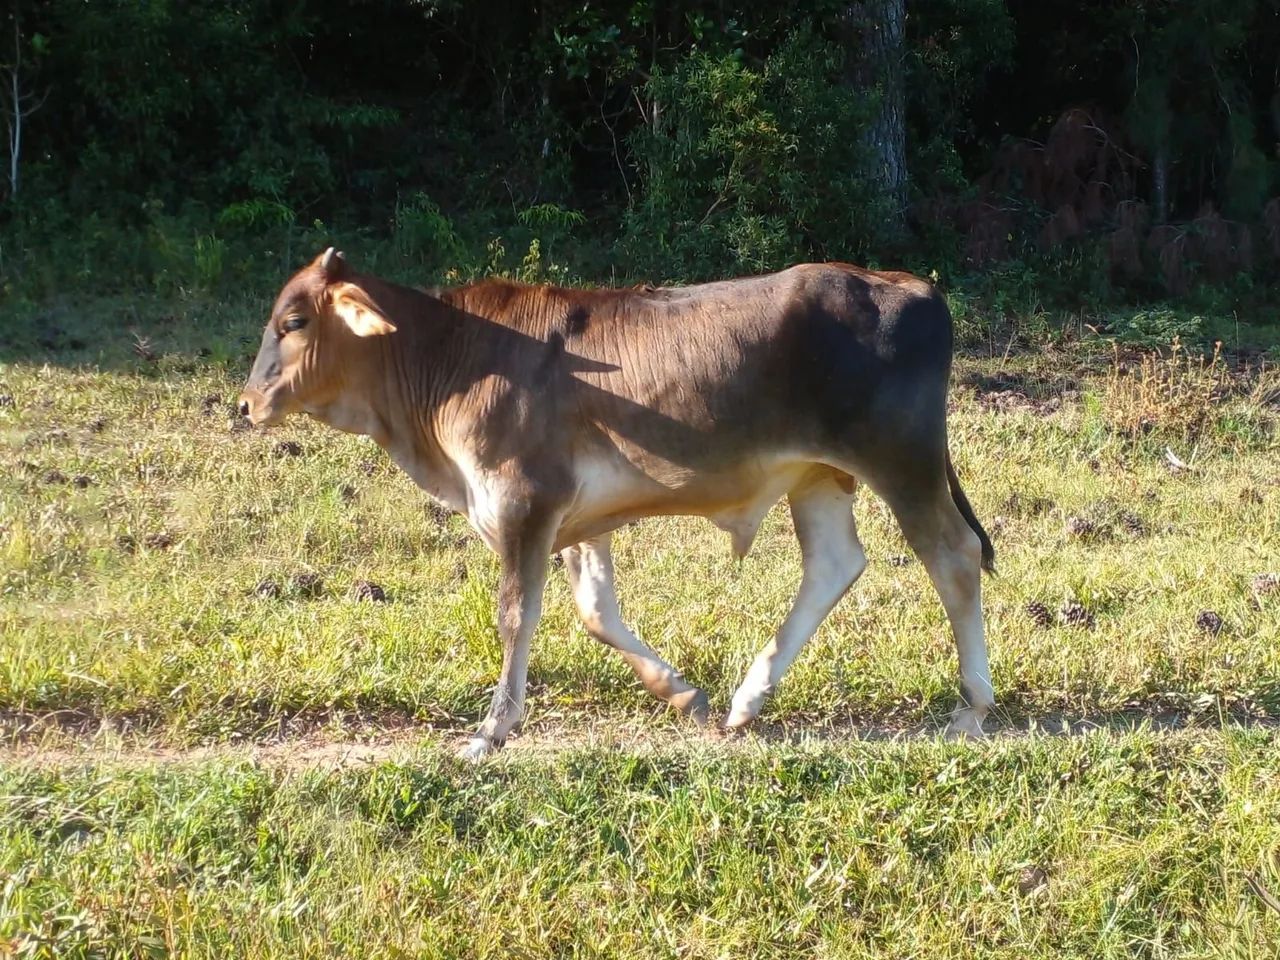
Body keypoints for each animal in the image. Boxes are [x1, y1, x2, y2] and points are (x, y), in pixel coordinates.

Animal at [239, 248, 995, 759]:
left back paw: (973, 706)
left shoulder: (523, 499)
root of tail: (908, 282)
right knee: (836, 563)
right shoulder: (575, 516)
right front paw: (682, 692)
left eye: (293, 321)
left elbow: (516, 614)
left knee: (953, 556)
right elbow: (596, 611)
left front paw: (490, 731)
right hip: (816, 475)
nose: (245, 404)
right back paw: (747, 699)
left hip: (901, 459)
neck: (453, 358)